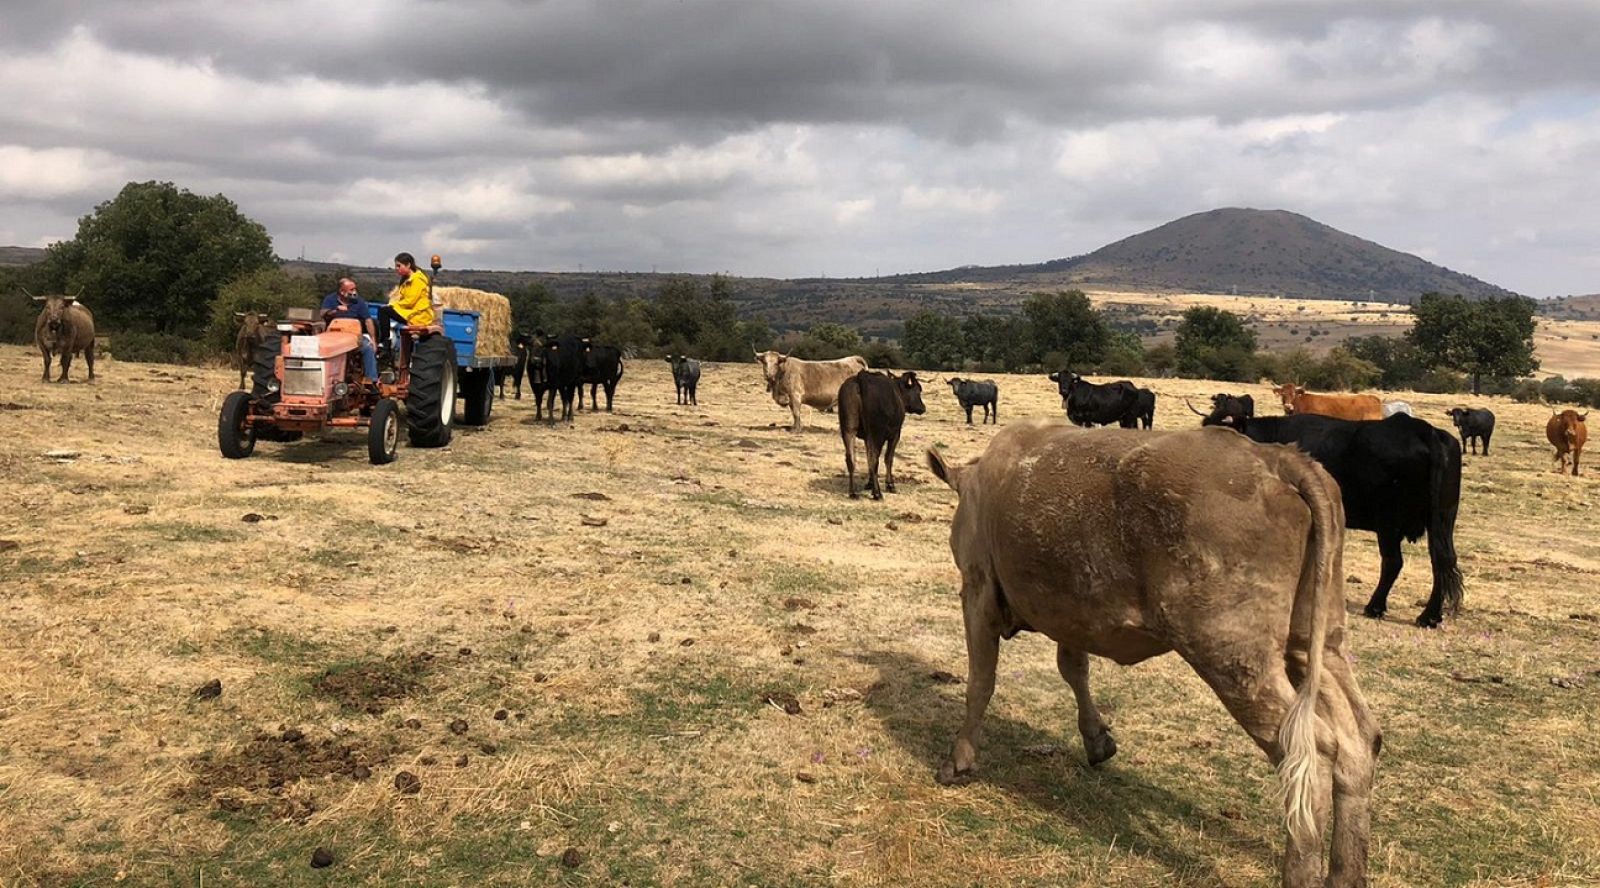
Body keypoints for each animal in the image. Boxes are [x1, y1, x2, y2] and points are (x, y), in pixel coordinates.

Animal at [838, 369, 928, 499]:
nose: (923, 408)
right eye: (918, 390)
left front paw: (870, 483)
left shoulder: (866, 437)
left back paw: (853, 492)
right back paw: (877, 493)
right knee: (874, 459)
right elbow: (888, 458)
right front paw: (890, 485)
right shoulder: (895, 434)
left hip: (848, 429)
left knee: (851, 459)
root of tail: (862, 377)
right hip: (877, 433)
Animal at [934, 425, 1382, 888]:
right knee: (1357, 741)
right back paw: (1348, 872)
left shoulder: (978, 591)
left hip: (1234, 657)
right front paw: (1097, 741)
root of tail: (1279, 459)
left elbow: (981, 681)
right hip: (1317, 643)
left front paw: (959, 760)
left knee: (1308, 751)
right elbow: (1074, 669)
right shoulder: (1070, 612)